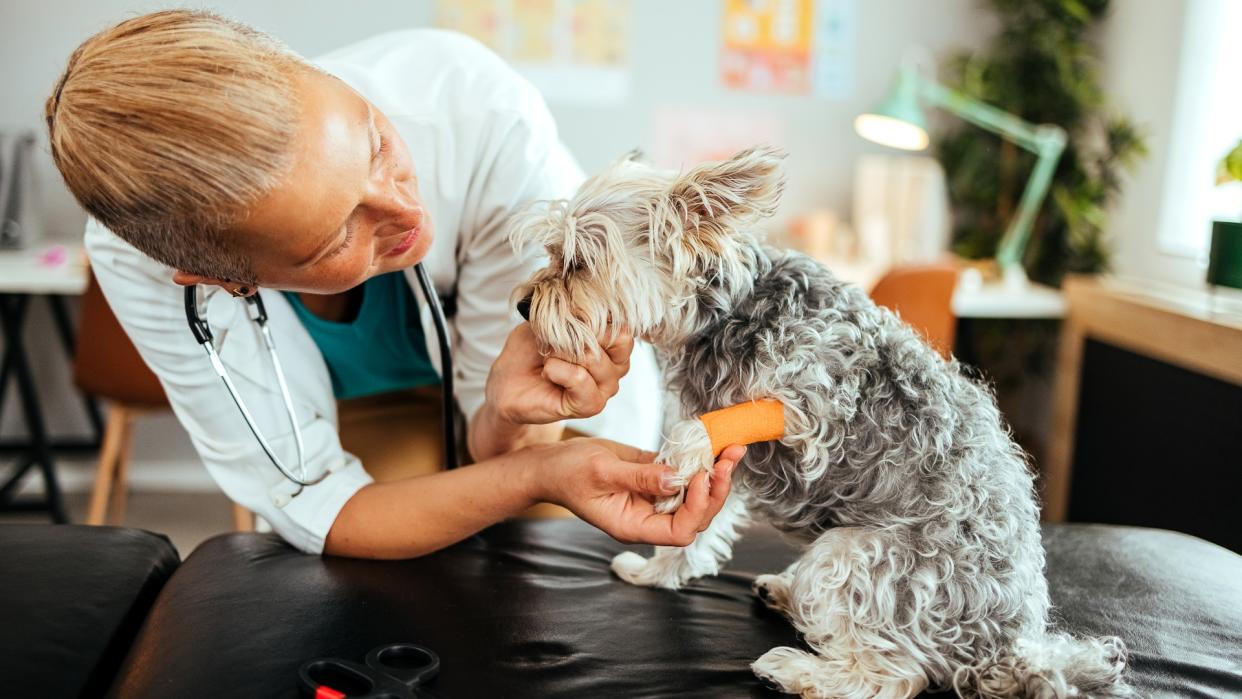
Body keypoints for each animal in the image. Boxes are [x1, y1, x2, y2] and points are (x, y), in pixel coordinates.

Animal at [509, 147, 1132, 699]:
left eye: (580, 262)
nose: (521, 305)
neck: (729, 310)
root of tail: (1005, 650)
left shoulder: (811, 404)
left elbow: (704, 431)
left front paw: (674, 467)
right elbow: (701, 529)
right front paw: (658, 571)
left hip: (854, 555)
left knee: (895, 676)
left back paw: (795, 671)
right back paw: (785, 596)